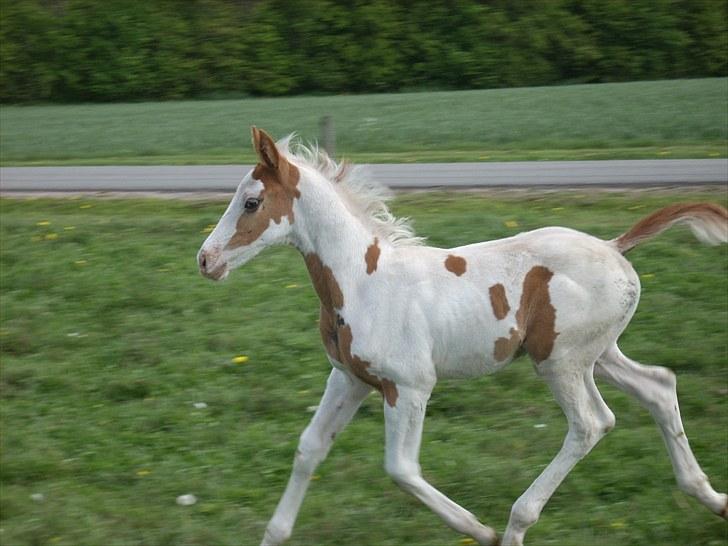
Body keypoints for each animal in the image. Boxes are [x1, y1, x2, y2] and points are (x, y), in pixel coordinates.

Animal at [199, 127, 728, 544]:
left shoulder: (409, 387)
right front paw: (274, 534)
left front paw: (479, 529)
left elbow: (401, 469)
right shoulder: (348, 379)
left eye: (251, 202)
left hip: (560, 361)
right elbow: (310, 448)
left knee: (592, 423)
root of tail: (614, 246)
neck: (362, 281)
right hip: (598, 354)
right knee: (659, 386)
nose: (205, 260)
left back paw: (515, 525)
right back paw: (711, 497)